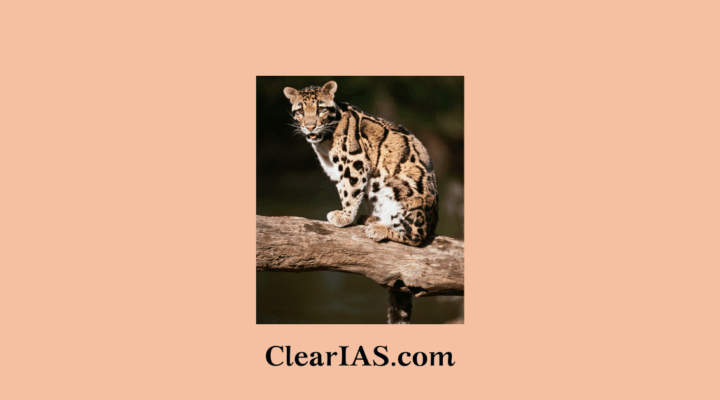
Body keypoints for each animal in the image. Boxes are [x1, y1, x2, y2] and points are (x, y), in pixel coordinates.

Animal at [283, 81, 438, 247]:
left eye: (321, 109)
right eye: (300, 111)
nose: (310, 127)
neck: (323, 143)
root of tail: (433, 222)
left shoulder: (355, 161)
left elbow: (350, 191)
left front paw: (344, 217)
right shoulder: (335, 170)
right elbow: (344, 190)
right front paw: (346, 215)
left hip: (401, 191)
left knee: (416, 237)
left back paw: (379, 228)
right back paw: (372, 219)